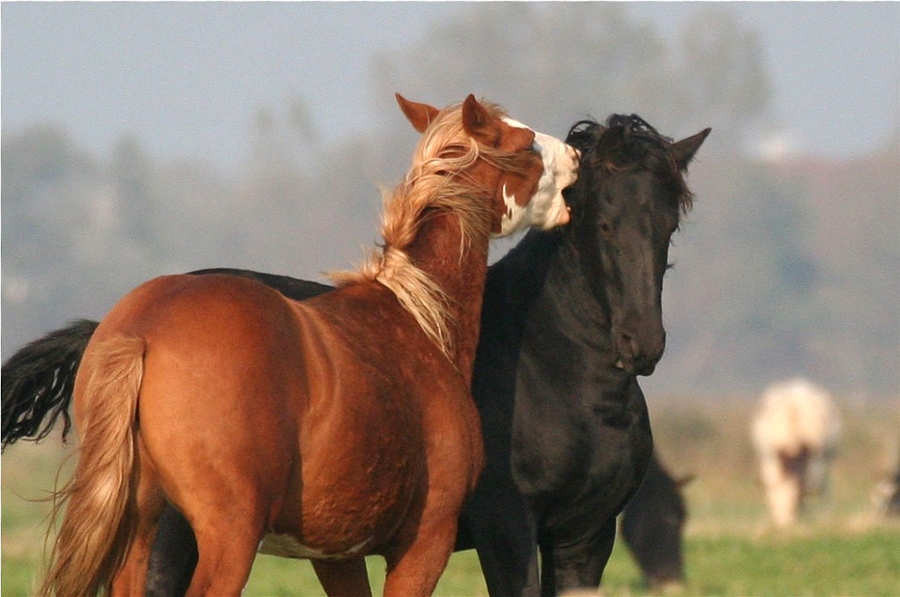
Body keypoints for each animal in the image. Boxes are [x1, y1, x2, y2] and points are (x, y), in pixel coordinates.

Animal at [1, 114, 712, 592]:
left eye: (668, 223)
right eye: (597, 218)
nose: (641, 343)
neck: (557, 377)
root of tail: (129, 328)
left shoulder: (583, 538)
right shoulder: (508, 534)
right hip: (181, 538)